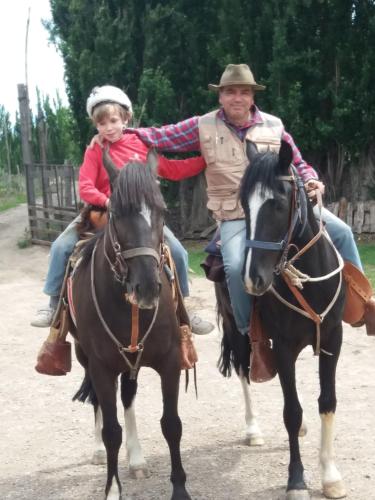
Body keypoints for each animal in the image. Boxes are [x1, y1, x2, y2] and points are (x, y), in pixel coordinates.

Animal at [69, 150, 191, 500]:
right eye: (116, 212)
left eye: (163, 211)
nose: (147, 287)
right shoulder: (101, 366)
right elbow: (111, 430)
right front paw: (112, 490)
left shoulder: (169, 360)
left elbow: (172, 424)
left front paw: (180, 489)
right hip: (86, 358)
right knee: (99, 402)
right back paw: (99, 451)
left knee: (128, 397)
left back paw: (136, 458)